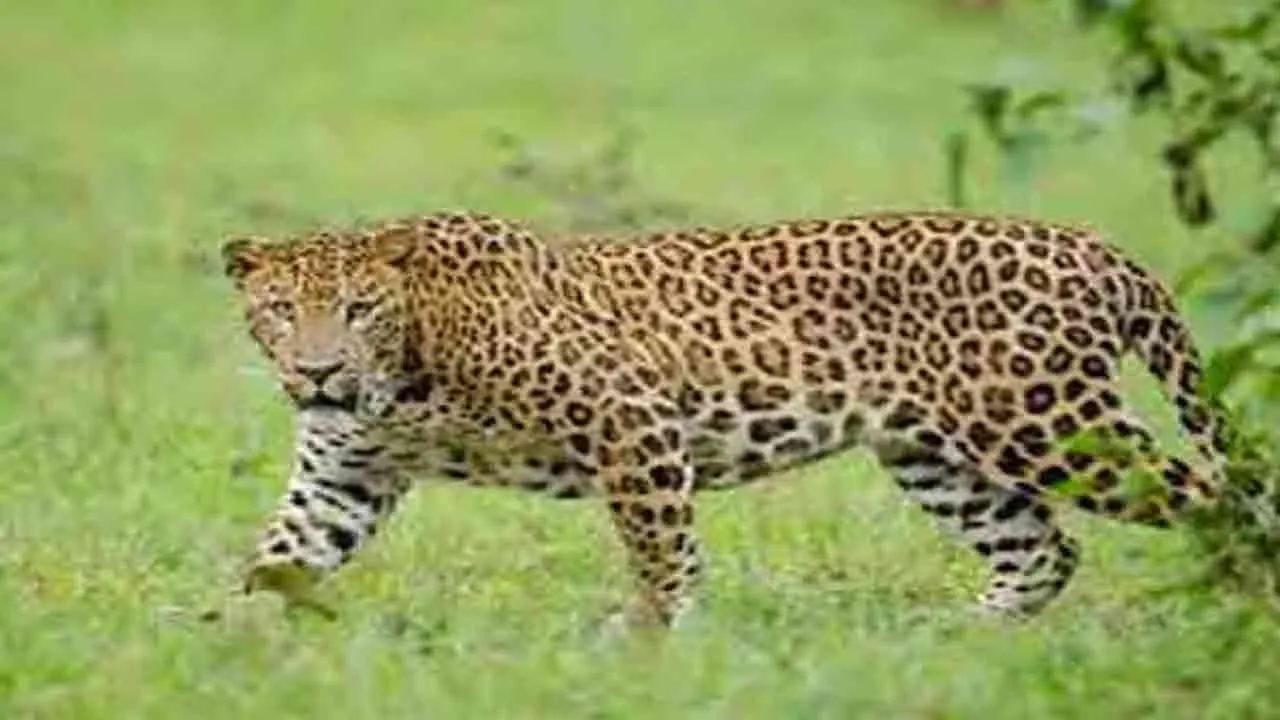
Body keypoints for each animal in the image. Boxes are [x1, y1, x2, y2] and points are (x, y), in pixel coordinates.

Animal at [219, 209, 1226, 629]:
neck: (407, 367)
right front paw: (224, 650)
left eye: (358, 310)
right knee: (1042, 550)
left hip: (1051, 426)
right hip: (940, 455)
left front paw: (653, 645)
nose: (317, 371)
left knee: (1221, 498)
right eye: (280, 312)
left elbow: (662, 553)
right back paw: (955, 638)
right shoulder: (343, 476)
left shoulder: (632, 420)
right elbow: (276, 563)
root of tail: (1095, 246)